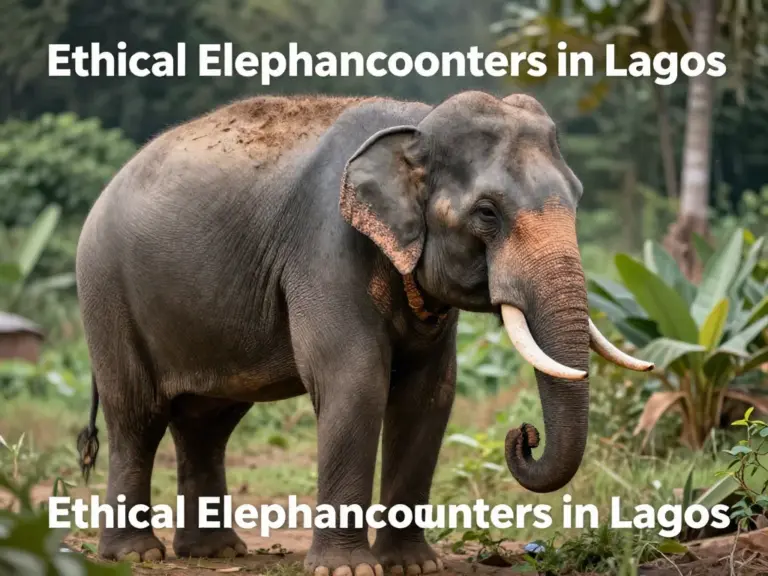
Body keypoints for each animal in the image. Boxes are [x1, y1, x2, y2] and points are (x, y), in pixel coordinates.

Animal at [74, 90, 653, 575]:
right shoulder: (325, 247)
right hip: (106, 294)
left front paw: (413, 566)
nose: (524, 435)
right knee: (137, 416)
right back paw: (135, 555)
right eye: (487, 212)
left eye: (576, 199)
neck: (416, 125)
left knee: (206, 423)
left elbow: (429, 394)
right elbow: (355, 383)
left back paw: (215, 552)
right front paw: (347, 569)